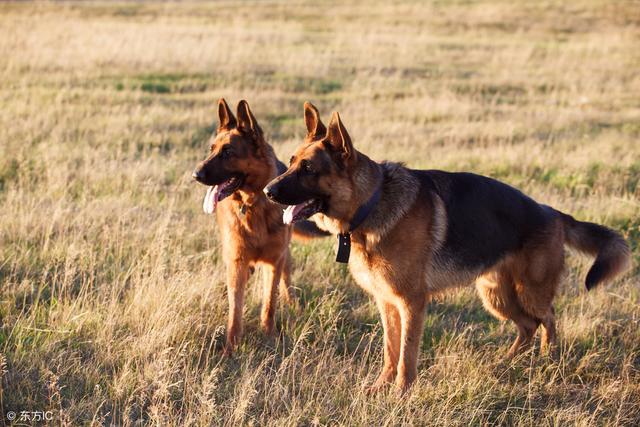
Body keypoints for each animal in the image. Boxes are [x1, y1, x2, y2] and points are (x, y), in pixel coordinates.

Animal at [192, 99, 324, 354]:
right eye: (211, 149)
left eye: (228, 152)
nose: (195, 174)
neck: (253, 204)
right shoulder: (237, 262)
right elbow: (235, 311)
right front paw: (231, 348)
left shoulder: (274, 261)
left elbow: (270, 302)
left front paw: (269, 336)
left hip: (283, 256)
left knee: (286, 279)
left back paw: (292, 303)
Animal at [264, 102, 632, 392]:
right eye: (291, 161)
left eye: (308, 169)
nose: (267, 190)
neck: (371, 203)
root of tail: (553, 213)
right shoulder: (387, 303)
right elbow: (390, 349)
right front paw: (381, 387)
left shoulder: (412, 302)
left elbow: (407, 354)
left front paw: (401, 393)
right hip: (495, 295)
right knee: (528, 326)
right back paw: (506, 362)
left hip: (530, 292)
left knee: (549, 321)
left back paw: (548, 360)